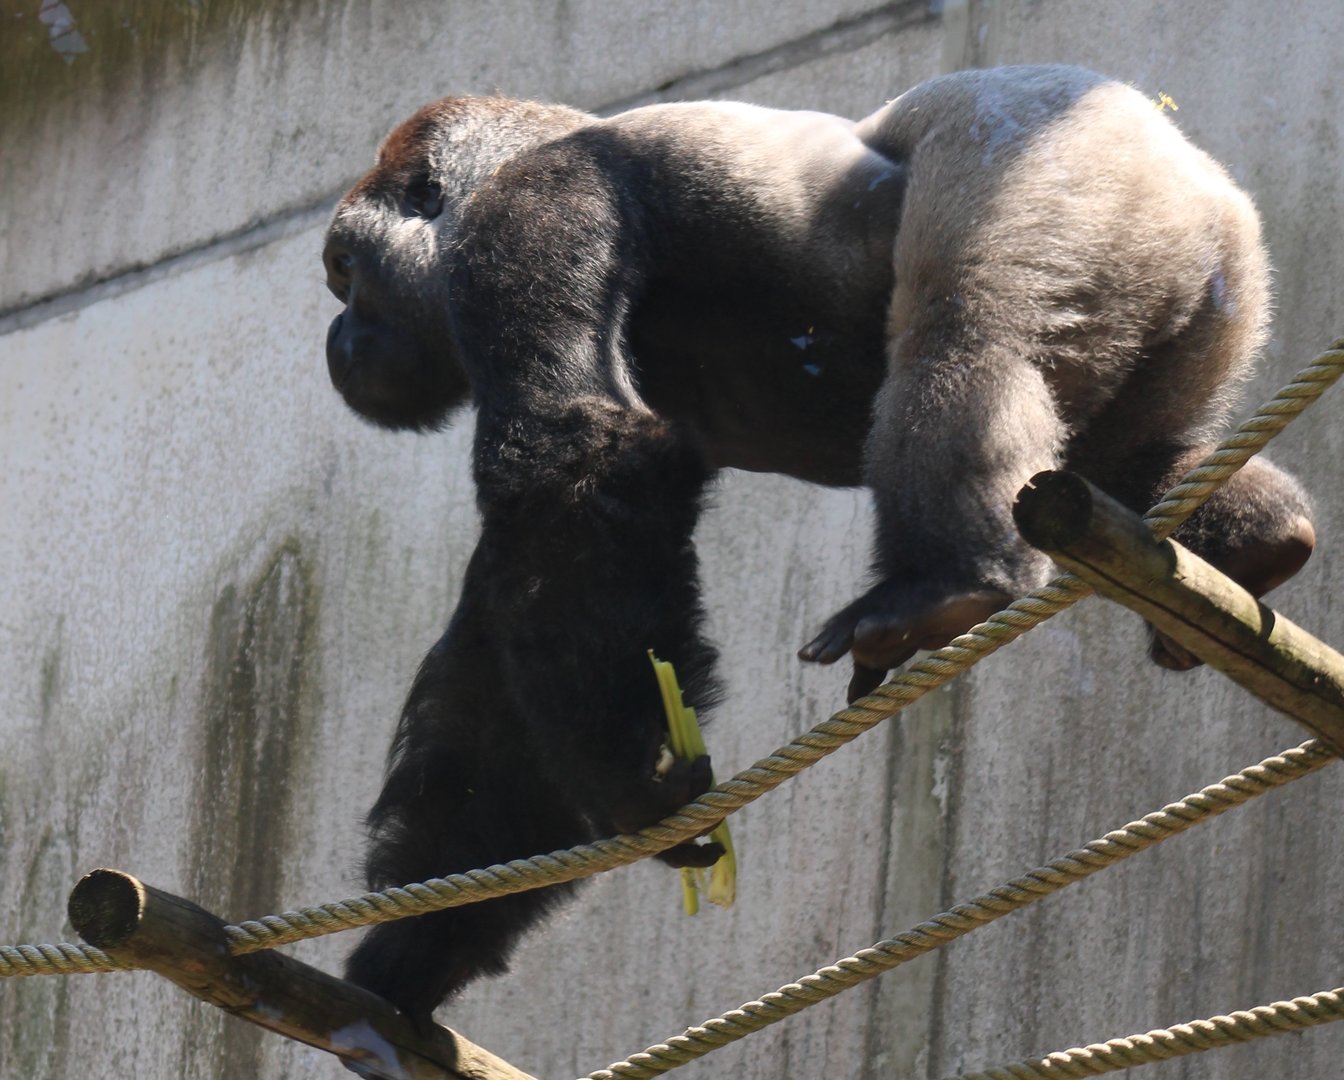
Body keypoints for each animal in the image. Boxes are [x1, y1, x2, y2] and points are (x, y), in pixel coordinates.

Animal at [321, 65, 1314, 1023]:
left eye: (343, 272)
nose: (337, 337)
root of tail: (1203, 178)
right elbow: (511, 638)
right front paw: (416, 951)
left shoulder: (526, 210)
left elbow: (579, 450)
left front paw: (634, 779)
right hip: (1208, 295)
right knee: (1128, 453)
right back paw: (1259, 543)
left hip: (1073, 156)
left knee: (968, 323)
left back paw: (949, 584)